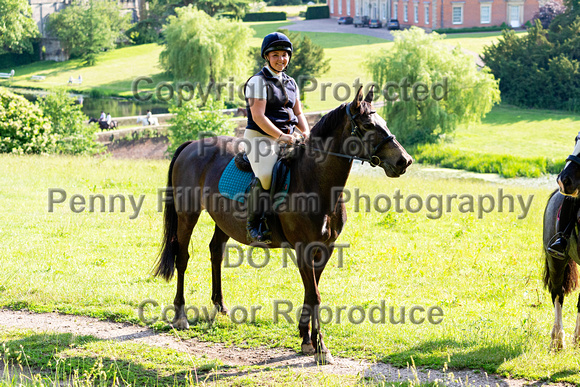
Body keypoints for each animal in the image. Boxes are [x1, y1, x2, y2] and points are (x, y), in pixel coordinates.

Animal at [152, 88, 410, 364]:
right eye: (368, 125)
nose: (404, 161)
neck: (314, 181)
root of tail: (191, 145)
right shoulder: (303, 249)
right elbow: (315, 295)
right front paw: (321, 347)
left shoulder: (325, 249)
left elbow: (310, 292)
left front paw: (306, 339)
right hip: (187, 214)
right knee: (182, 257)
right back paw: (180, 315)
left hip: (222, 221)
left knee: (216, 252)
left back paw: (220, 307)